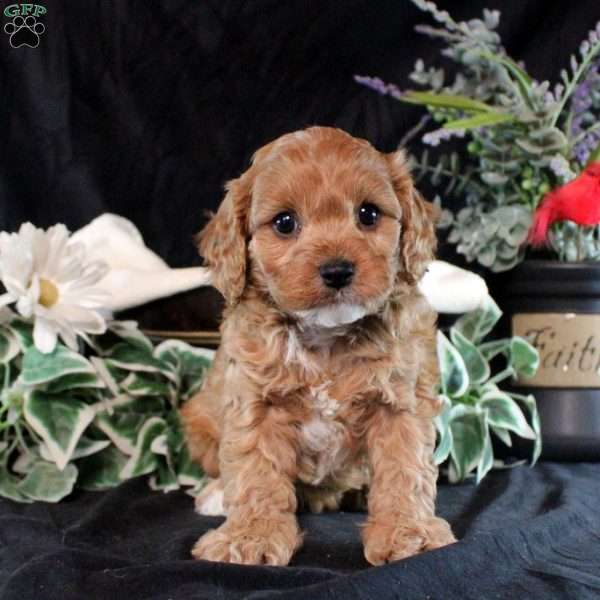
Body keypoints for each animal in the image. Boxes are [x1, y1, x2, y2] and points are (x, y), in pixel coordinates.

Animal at [182, 124, 454, 564]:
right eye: (285, 222)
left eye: (368, 214)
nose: (337, 270)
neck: (326, 336)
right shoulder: (254, 402)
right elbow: (254, 471)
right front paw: (250, 536)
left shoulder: (402, 401)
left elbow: (405, 468)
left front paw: (407, 532)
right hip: (199, 419)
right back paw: (217, 496)